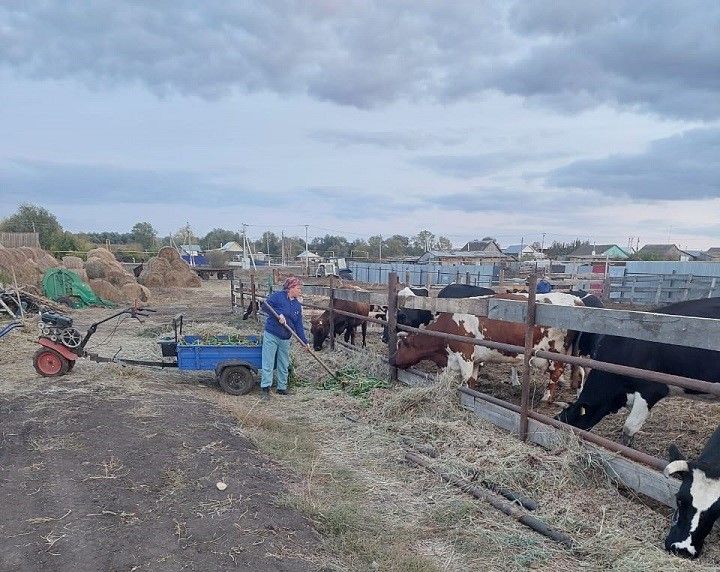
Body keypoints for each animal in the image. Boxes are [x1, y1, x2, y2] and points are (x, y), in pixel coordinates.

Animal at [390, 294, 584, 402]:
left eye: (401, 345)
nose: (392, 359)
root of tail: (576, 299)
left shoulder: (465, 355)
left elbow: (466, 379)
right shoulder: (474, 359)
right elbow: (472, 380)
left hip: (555, 352)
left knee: (556, 372)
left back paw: (546, 398)